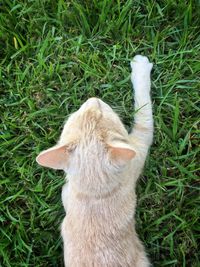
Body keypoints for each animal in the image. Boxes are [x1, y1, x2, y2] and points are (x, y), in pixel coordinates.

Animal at [36, 55, 153, 267]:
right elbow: (144, 113)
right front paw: (140, 70)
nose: (93, 99)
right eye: (100, 112)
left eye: (78, 113)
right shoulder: (139, 146)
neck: (95, 193)